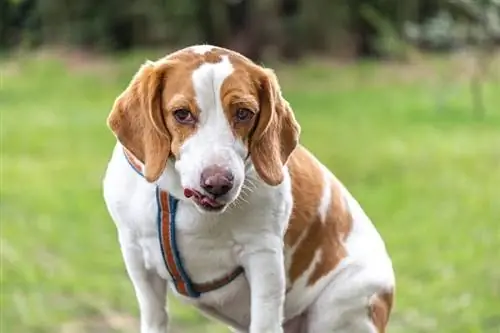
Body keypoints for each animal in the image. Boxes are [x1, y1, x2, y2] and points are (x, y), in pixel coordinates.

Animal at [103, 44, 396, 332]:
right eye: (182, 114)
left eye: (244, 113)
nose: (218, 183)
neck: (184, 202)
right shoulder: (137, 259)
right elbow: (155, 317)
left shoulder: (263, 258)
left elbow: (264, 320)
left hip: (339, 307)